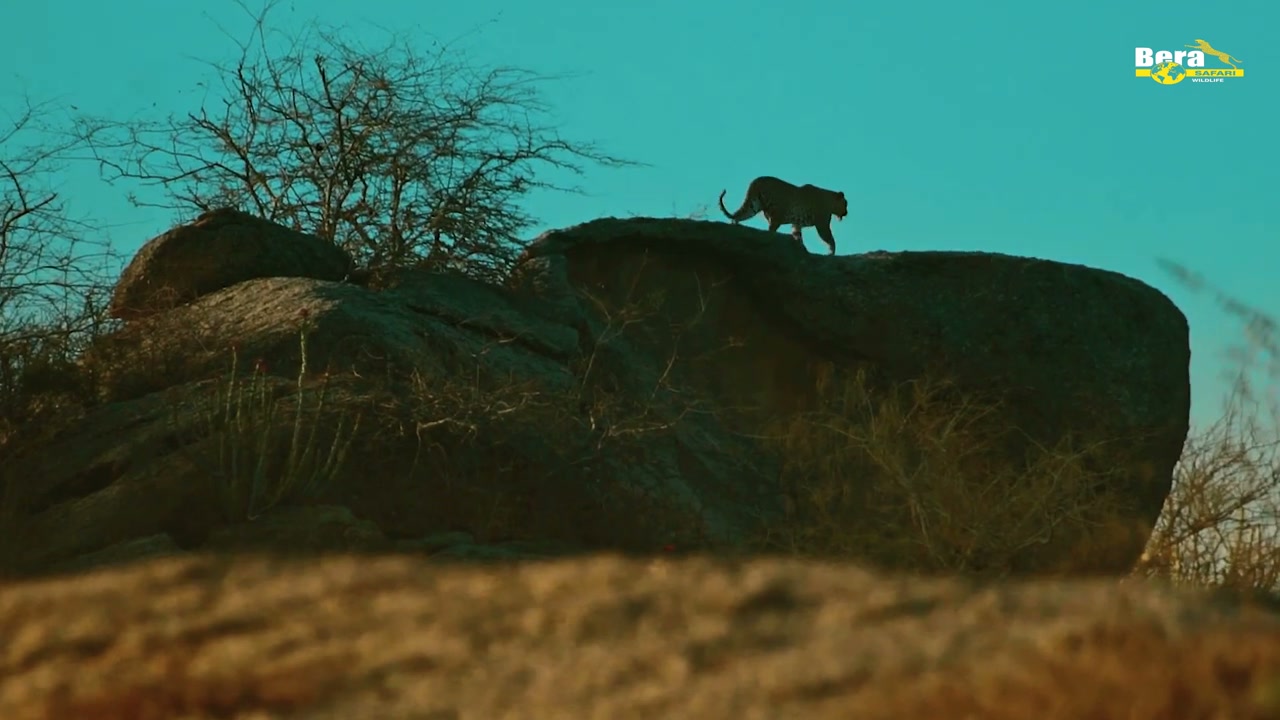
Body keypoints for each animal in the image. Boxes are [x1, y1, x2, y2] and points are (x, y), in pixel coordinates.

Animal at [718, 176, 848, 255]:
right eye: (846, 203)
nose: (847, 213)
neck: (830, 200)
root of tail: (756, 181)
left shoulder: (796, 224)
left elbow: (797, 234)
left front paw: (800, 246)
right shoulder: (822, 224)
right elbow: (829, 238)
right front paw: (832, 252)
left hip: (753, 205)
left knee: (740, 215)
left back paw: (734, 226)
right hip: (777, 214)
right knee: (771, 229)